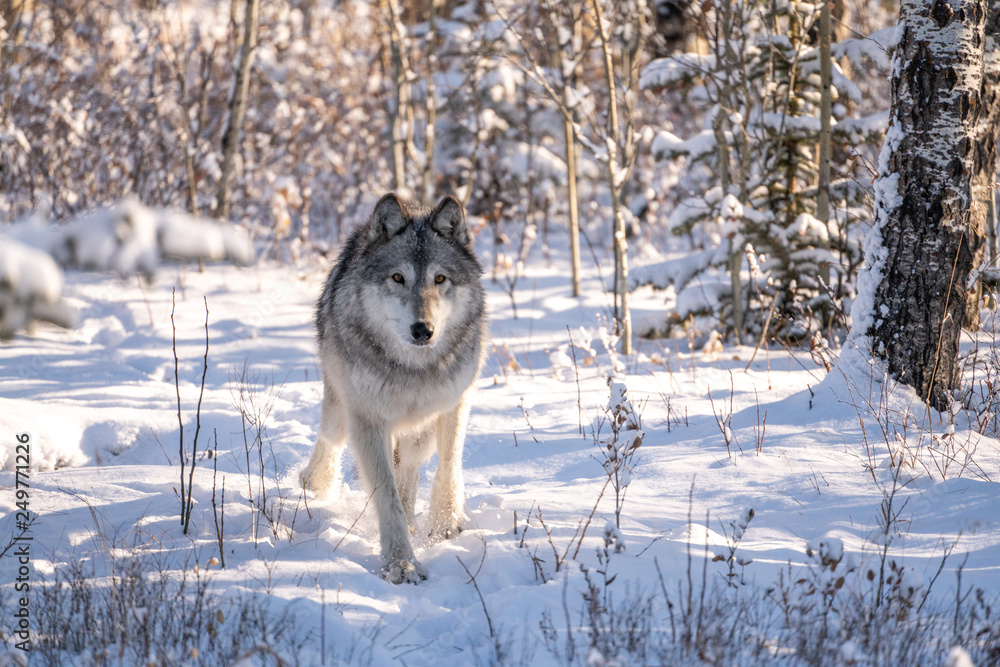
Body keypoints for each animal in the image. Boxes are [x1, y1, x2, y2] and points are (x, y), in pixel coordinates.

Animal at [302, 193, 488, 584]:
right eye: (398, 277)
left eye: (440, 278)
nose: (423, 330)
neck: (413, 370)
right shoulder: (368, 420)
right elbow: (386, 497)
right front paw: (402, 564)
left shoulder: (454, 403)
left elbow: (449, 465)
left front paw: (444, 525)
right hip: (341, 414)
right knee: (329, 440)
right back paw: (314, 484)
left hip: (420, 433)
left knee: (409, 467)